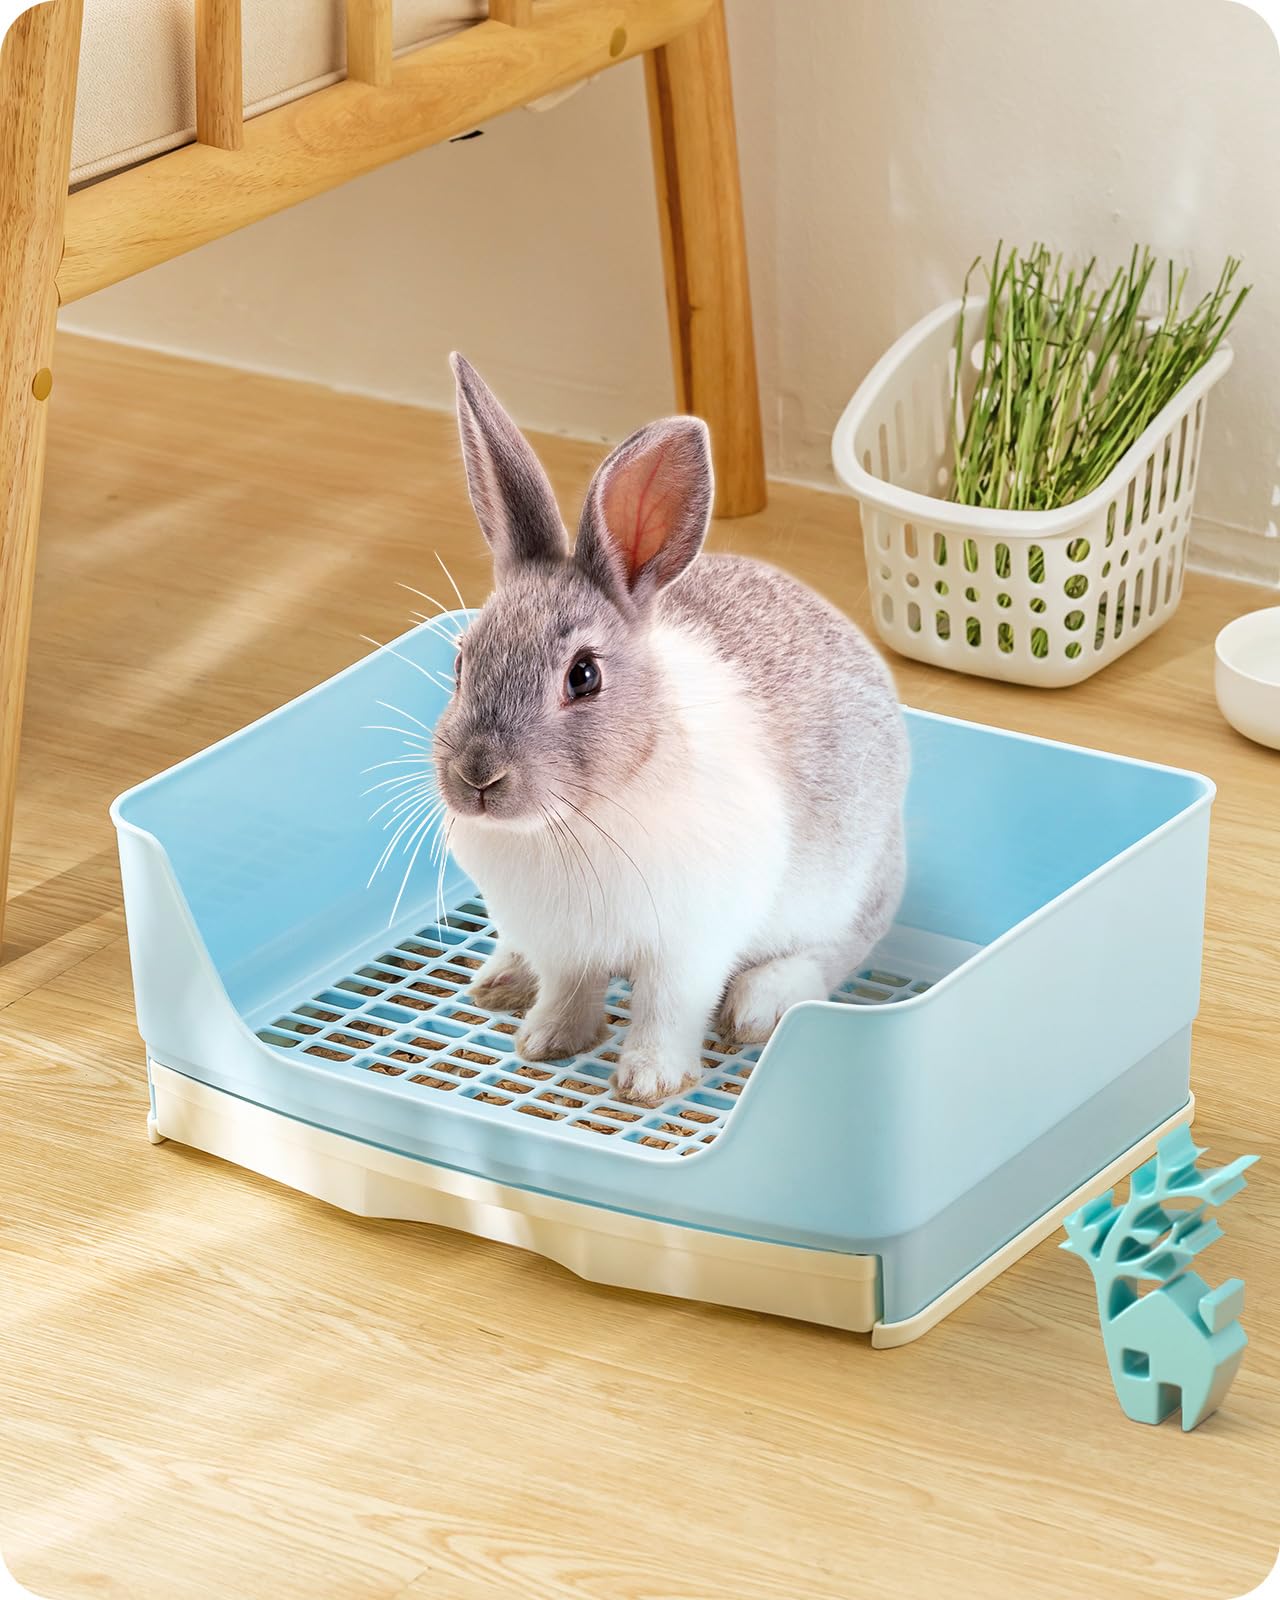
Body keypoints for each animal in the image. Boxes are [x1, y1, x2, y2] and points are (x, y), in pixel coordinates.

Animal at [432, 354, 909, 1109]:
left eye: (584, 676)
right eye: (459, 660)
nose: (477, 776)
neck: (574, 820)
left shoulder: (688, 945)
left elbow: (666, 1008)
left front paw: (650, 1082)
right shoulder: (563, 944)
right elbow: (569, 990)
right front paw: (546, 1041)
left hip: (849, 893)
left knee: (832, 952)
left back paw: (758, 1007)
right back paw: (501, 979)